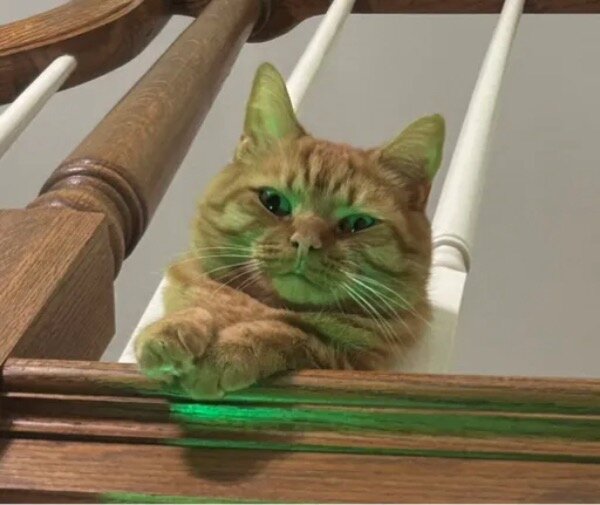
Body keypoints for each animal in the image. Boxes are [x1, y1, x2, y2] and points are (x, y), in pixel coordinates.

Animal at [134, 62, 445, 399]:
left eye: (358, 224)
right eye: (274, 202)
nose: (306, 242)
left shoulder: (348, 360)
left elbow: (286, 332)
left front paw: (226, 352)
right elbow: (200, 303)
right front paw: (172, 330)